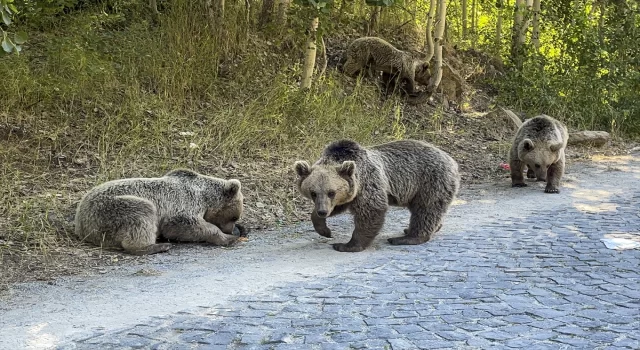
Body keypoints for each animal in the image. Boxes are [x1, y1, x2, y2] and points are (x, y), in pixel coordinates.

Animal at [75, 168, 245, 256]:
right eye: (234, 217)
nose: (231, 229)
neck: (204, 197)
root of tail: (80, 225)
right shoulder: (184, 202)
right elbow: (181, 224)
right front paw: (227, 238)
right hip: (111, 209)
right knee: (142, 215)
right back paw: (158, 246)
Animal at [292, 139, 462, 252]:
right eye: (313, 193)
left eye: (331, 192)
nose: (323, 211)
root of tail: (452, 160)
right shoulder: (351, 193)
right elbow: (339, 207)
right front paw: (325, 230)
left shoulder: (368, 182)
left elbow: (371, 210)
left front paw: (346, 245)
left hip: (429, 181)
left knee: (426, 209)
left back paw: (406, 237)